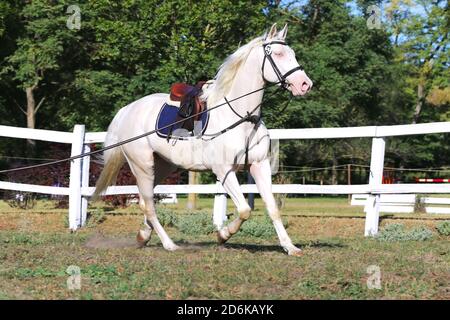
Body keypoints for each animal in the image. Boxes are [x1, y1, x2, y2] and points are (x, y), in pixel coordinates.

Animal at [94, 23, 312, 255]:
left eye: (293, 54)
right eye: (278, 54)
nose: (305, 84)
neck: (241, 117)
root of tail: (127, 110)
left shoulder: (259, 165)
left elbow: (272, 209)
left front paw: (290, 247)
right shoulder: (224, 171)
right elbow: (245, 210)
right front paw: (223, 234)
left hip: (162, 166)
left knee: (146, 202)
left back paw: (143, 236)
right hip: (142, 166)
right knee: (150, 205)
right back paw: (169, 244)